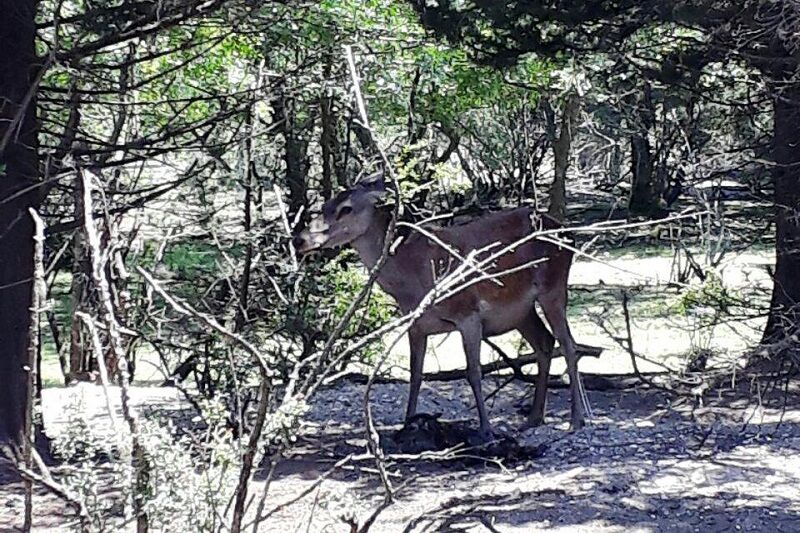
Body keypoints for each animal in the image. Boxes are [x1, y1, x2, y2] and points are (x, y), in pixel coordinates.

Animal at [294, 177, 588, 438]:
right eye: (325, 205)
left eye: (346, 208)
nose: (300, 240)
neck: (413, 282)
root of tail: (569, 236)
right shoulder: (416, 325)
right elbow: (415, 374)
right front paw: (407, 424)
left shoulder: (468, 313)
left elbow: (473, 372)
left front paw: (486, 429)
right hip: (521, 312)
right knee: (544, 343)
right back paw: (534, 418)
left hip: (553, 287)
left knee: (569, 345)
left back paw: (576, 420)